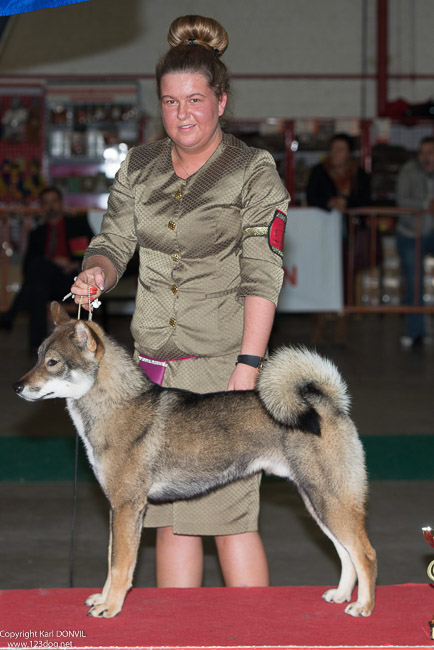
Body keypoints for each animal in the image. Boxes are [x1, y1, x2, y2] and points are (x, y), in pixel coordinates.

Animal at [14, 302, 376, 616]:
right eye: (38, 356)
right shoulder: (118, 510)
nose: (17, 387)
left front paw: (112, 606)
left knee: (365, 554)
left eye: (53, 362)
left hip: (330, 500)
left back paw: (363, 606)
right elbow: (111, 560)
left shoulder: (127, 506)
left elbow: (120, 565)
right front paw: (103, 599)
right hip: (317, 503)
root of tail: (327, 403)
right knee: (346, 553)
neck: (116, 406)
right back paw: (341, 594)